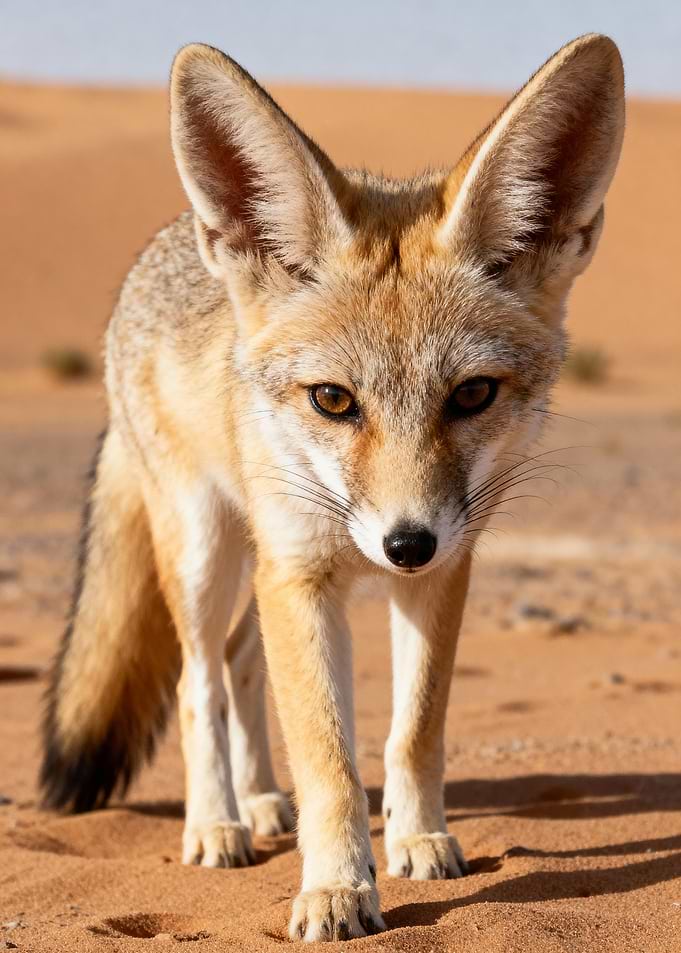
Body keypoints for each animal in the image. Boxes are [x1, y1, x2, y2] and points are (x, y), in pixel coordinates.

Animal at [40, 34, 624, 941]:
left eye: (471, 394)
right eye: (332, 400)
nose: (405, 543)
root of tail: (163, 246)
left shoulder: (441, 572)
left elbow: (413, 730)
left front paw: (416, 839)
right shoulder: (302, 577)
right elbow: (327, 756)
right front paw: (336, 886)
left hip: (262, 571)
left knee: (242, 665)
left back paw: (260, 800)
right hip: (209, 555)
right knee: (199, 681)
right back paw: (218, 822)